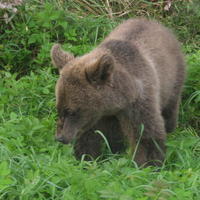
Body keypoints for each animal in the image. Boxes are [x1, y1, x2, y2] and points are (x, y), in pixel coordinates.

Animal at [50, 18, 185, 166]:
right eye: (59, 108)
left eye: (72, 111)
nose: (60, 138)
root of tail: (156, 23)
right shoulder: (98, 115)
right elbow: (89, 137)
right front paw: (87, 159)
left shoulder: (139, 102)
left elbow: (146, 135)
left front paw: (148, 163)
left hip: (173, 79)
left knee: (170, 110)